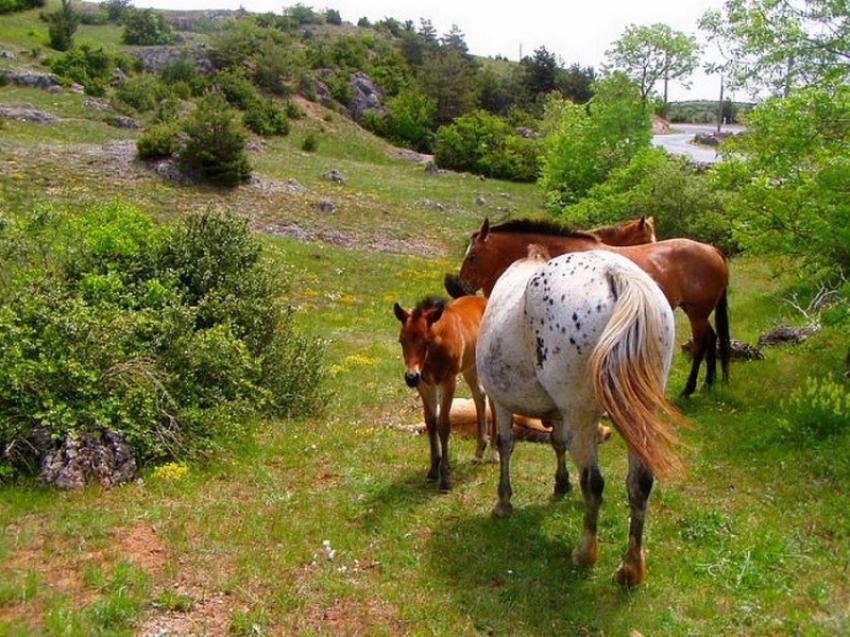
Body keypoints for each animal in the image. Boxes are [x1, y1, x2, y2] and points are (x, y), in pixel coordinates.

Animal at [392, 296, 486, 490]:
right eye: (401, 341)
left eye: (426, 342)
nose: (410, 377)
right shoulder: (425, 384)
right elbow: (431, 421)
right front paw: (433, 471)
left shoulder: (448, 381)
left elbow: (443, 424)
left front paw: (446, 478)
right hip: (470, 368)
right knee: (479, 396)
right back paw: (479, 452)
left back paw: (494, 453)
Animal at [454, 220, 724, 398]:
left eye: (473, 257)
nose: (460, 287)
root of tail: (713, 250)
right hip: (697, 312)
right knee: (712, 339)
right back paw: (709, 383)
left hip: (697, 313)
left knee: (700, 345)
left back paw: (689, 389)